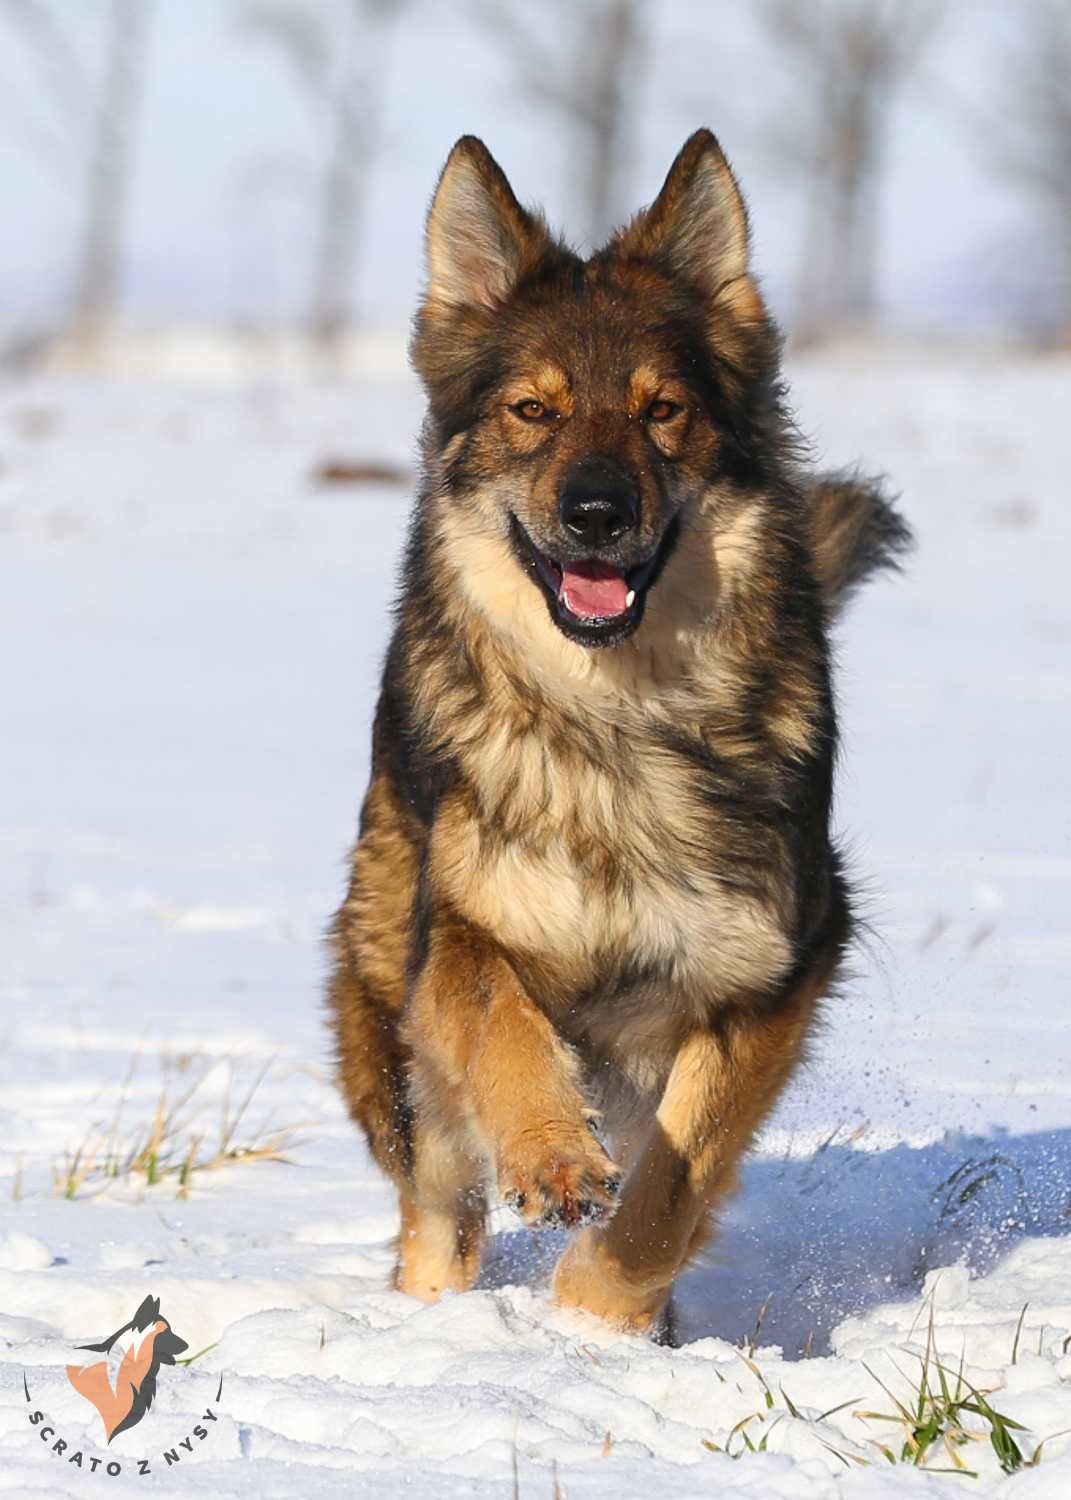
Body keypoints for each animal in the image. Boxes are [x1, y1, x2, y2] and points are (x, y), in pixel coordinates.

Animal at [325, 129, 912, 1338]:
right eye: (532, 411)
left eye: (661, 410)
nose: (596, 513)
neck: (616, 719)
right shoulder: (463, 929)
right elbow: (502, 1023)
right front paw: (554, 1159)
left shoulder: (770, 969)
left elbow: (675, 1182)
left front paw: (598, 1310)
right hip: (389, 1010)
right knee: (437, 1211)